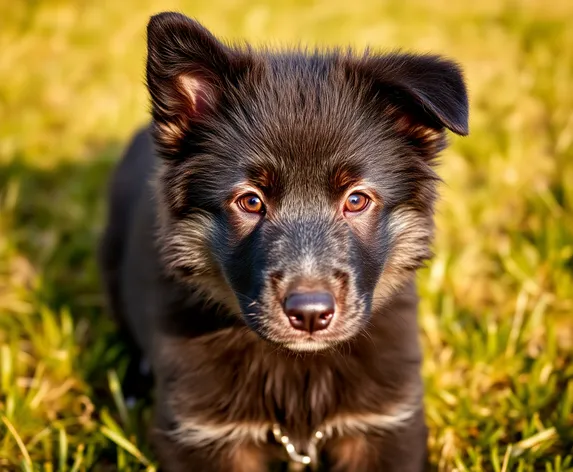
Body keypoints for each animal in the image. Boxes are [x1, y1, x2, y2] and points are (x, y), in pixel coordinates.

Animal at [97, 11, 464, 472]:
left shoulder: (387, 426)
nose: (309, 314)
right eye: (251, 201)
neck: (297, 365)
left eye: (356, 199)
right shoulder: (201, 436)